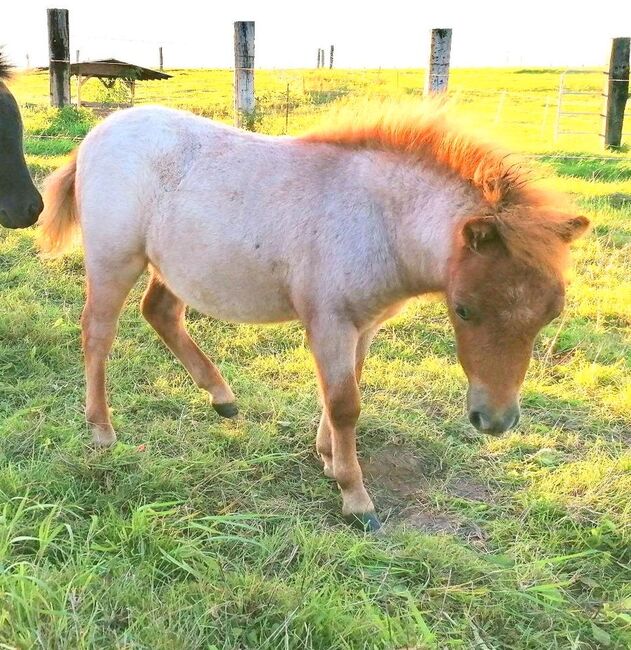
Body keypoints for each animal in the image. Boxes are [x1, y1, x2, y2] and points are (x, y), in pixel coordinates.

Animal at [39, 100, 592, 528]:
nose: (494, 421)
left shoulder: (362, 325)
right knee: (98, 334)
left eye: (551, 314)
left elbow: (346, 389)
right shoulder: (330, 322)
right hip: (115, 261)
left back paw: (223, 398)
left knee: (161, 313)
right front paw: (355, 497)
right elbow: (346, 403)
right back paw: (103, 431)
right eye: (463, 310)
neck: (378, 219)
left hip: (177, 267)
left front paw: (328, 457)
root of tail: (94, 137)